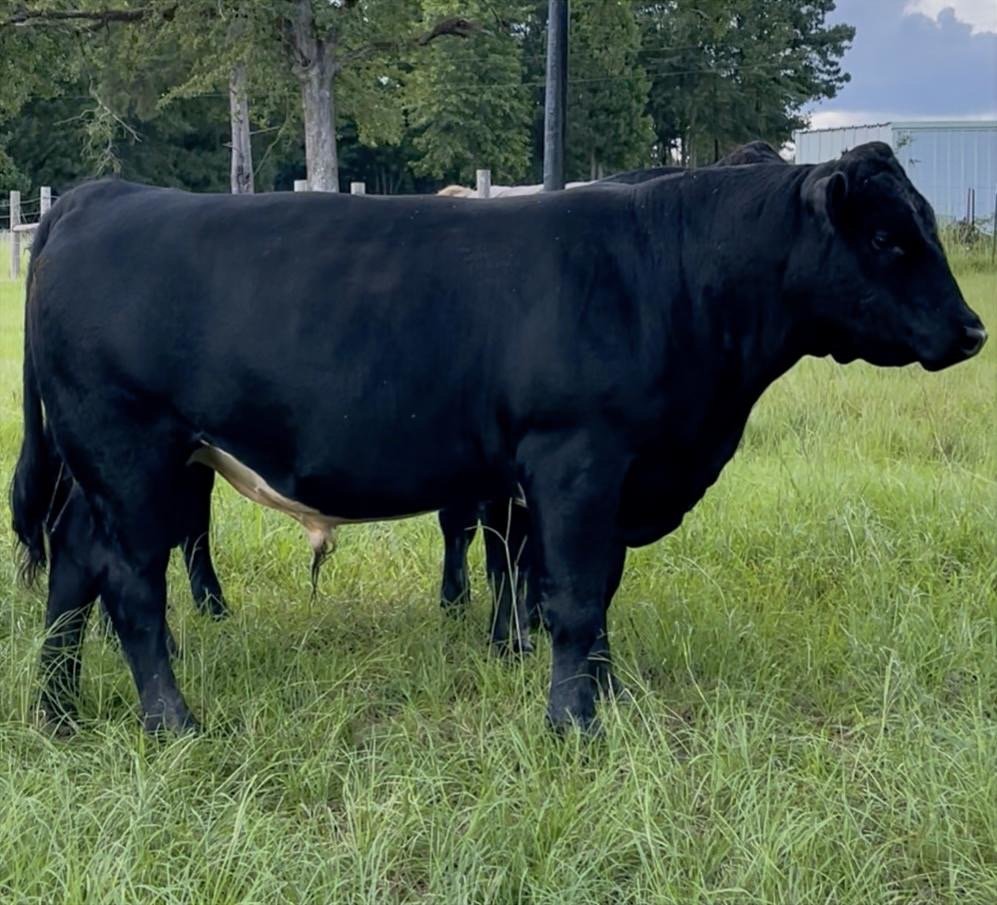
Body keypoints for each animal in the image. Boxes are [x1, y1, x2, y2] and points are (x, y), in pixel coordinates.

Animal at [13, 142, 986, 735]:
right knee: (130, 585)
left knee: (72, 569)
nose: (973, 329)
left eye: (925, 227)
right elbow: (574, 597)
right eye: (889, 238)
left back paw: (58, 709)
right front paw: (573, 724)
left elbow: (591, 594)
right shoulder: (576, 460)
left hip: (109, 472)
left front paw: (605, 695)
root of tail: (99, 196)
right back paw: (171, 719)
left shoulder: (608, 478)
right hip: (132, 456)